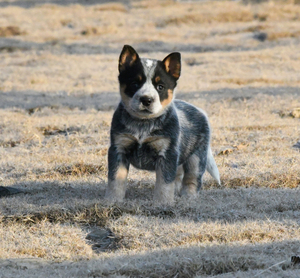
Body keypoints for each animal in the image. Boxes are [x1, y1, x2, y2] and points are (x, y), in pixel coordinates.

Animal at [105, 44, 220, 203]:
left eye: (160, 87)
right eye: (135, 83)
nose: (146, 99)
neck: (143, 125)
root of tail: (200, 111)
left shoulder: (167, 153)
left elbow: (164, 183)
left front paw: (162, 203)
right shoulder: (119, 148)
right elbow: (116, 179)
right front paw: (113, 201)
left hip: (197, 158)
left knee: (192, 180)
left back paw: (188, 198)